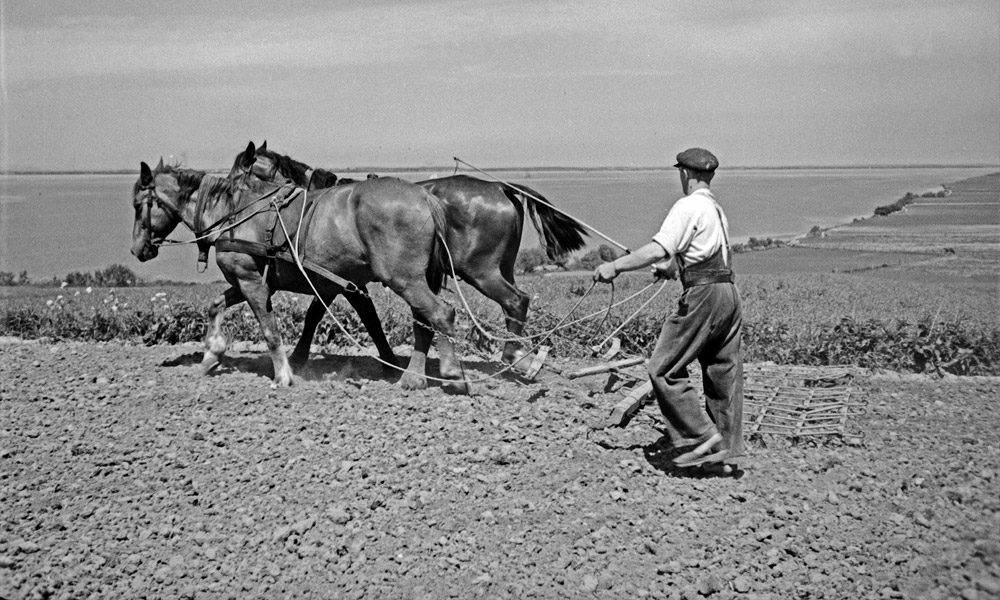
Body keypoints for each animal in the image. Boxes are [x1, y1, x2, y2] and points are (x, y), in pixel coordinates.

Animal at [128, 159, 464, 392]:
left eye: (137, 205)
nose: (136, 249)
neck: (233, 214)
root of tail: (423, 196)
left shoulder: (252, 283)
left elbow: (270, 331)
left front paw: (283, 374)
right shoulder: (250, 281)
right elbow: (214, 306)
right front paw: (212, 353)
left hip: (404, 279)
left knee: (441, 313)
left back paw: (451, 372)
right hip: (415, 279)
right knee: (424, 320)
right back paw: (415, 378)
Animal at [229, 141, 584, 370]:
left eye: (235, 176)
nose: (228, 208)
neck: (313, 209)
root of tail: (500, 188)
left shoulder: (337, 281)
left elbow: (322, 315)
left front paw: (300, 357)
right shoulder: (344, 282)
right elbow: (358, 317)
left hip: (482, 272)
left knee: (515, 301)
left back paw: (512, 357)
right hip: (502, 268)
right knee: (515, 303)